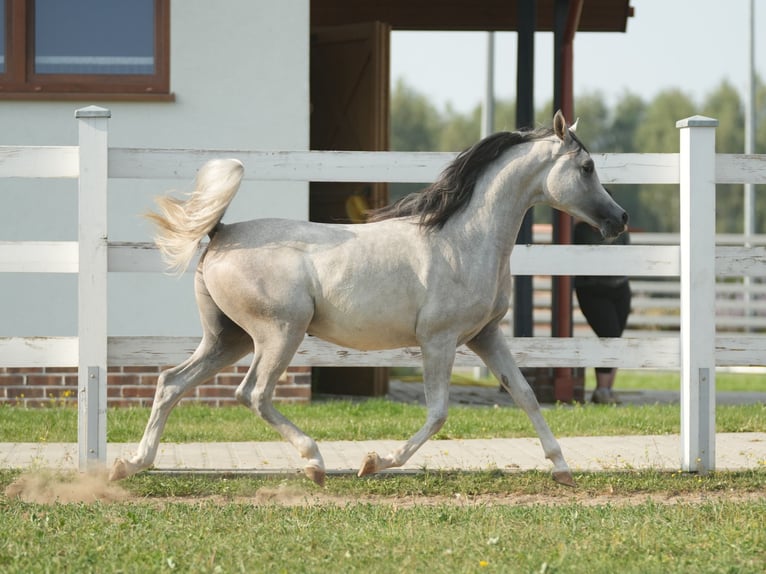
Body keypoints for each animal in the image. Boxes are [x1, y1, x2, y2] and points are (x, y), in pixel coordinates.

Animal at [109, 110, 627, 487]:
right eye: (587, 167)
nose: (619, 219)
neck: (462, 239)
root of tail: (220, 232)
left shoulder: (485, 337)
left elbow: (525, 396)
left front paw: (562, 469)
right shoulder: (438, 341)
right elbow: (438, 413)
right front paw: (374, 462)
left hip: (228, 338)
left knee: (171, 382)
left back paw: (131, 464)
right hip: (280, 333)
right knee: (252, 393)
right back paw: (314, 462)